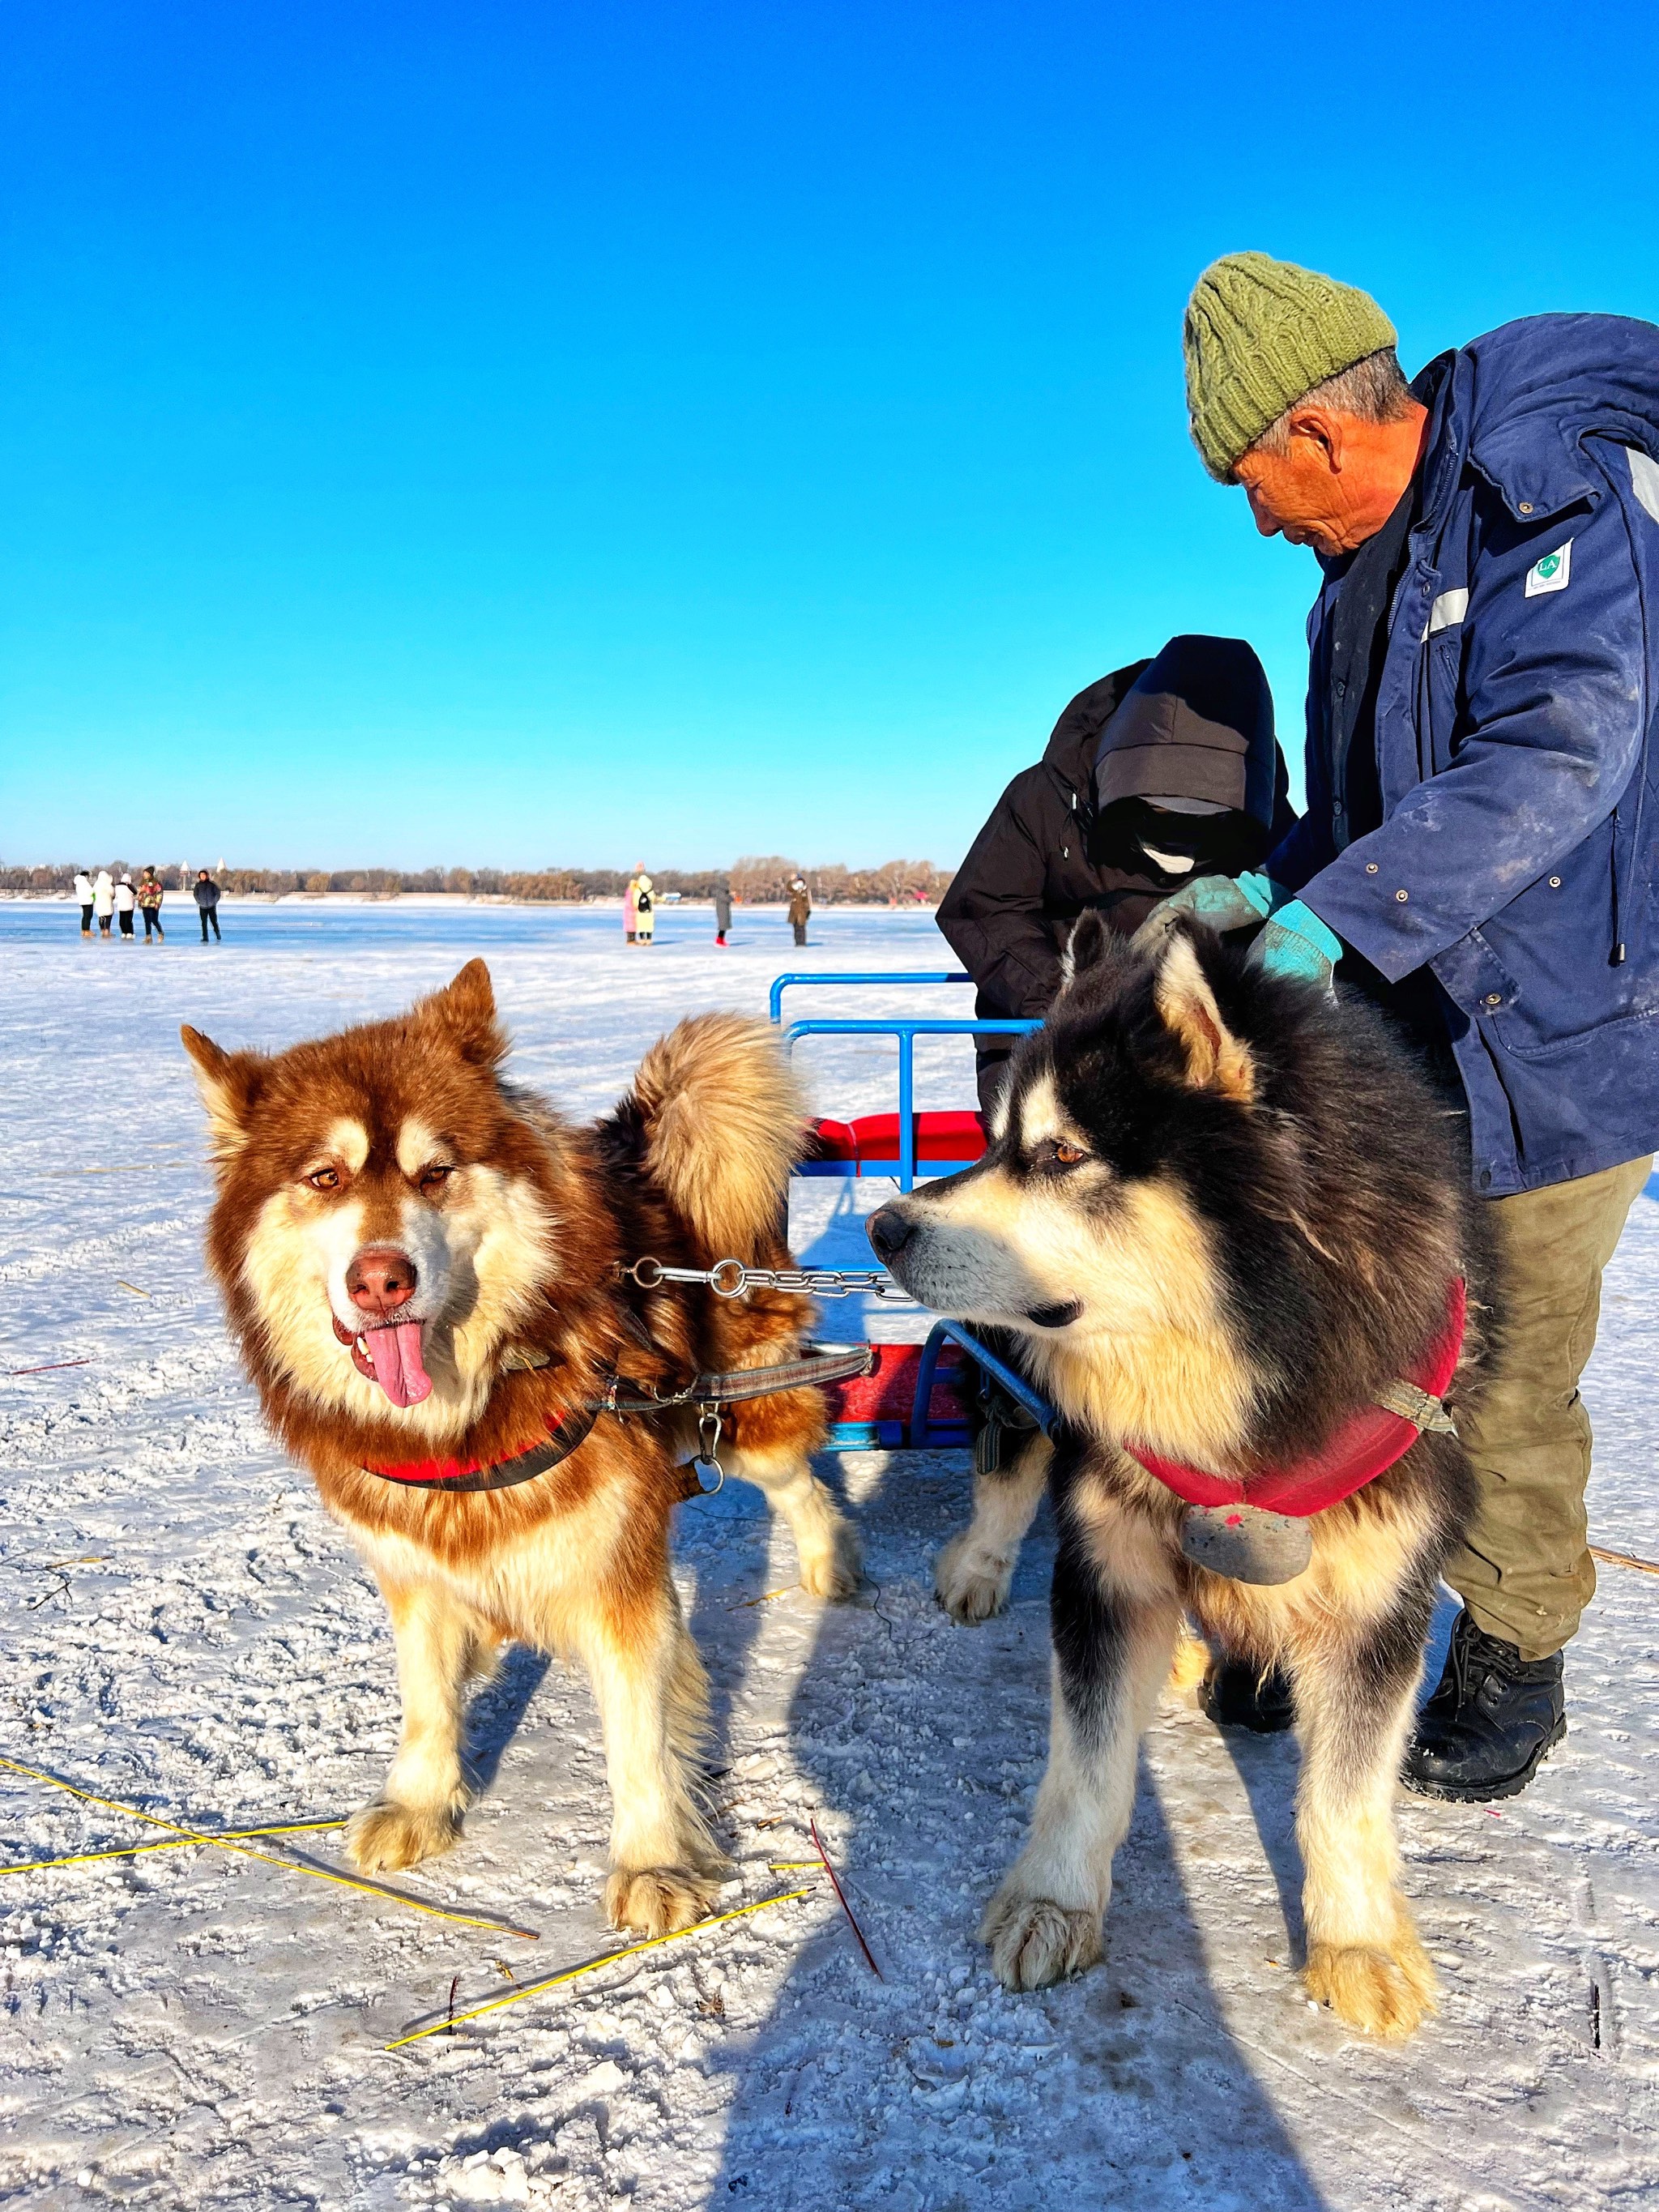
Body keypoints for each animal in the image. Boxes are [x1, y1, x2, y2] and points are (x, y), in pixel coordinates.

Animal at [181, 968, 858, 1937]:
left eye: (436, 1172)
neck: (466, 1410)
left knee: (799, 1479)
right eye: (324, 1177)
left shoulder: (619, 1580)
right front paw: (421, 1802)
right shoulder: (413, 1566)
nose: (379, 1280)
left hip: (744, 1414)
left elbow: (638, 1735)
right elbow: (426, 1701)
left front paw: (652, 1860)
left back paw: (829, 1563)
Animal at [871, 911, 1495, 2035]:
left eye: (1059, 1152)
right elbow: (1084, 1765)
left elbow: (1344, 1797)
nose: (884, 1227)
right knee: (1011, 1465)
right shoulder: (1106, 1560)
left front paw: (1356, 1941)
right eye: (995, 1144)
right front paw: (1054, 1901)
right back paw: (980, 1565)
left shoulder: (1381, 1597)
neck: (1239, 1381)